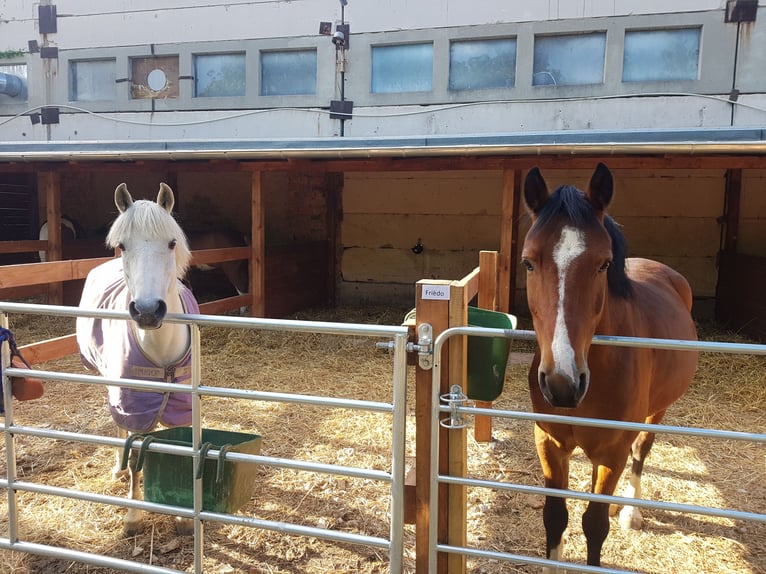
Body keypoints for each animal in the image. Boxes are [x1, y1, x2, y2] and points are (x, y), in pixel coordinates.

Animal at [76, 183, 198, 536]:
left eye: (171, 243)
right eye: (122, 245)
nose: (146, 311)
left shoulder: (181, 406)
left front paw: (183, 518)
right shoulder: (133, 404)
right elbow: (133, 455)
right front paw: (133, 515)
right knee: (120, 430)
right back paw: (117, 469)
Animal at [520, 164, 704, 572]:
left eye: (603, 263)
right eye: (528, 262)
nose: (562, 384)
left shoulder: (611, 453)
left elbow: (594, 524)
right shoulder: (550, 444)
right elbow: (555, 517)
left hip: (656, 412)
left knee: (642, 450)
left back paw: (631, 511)